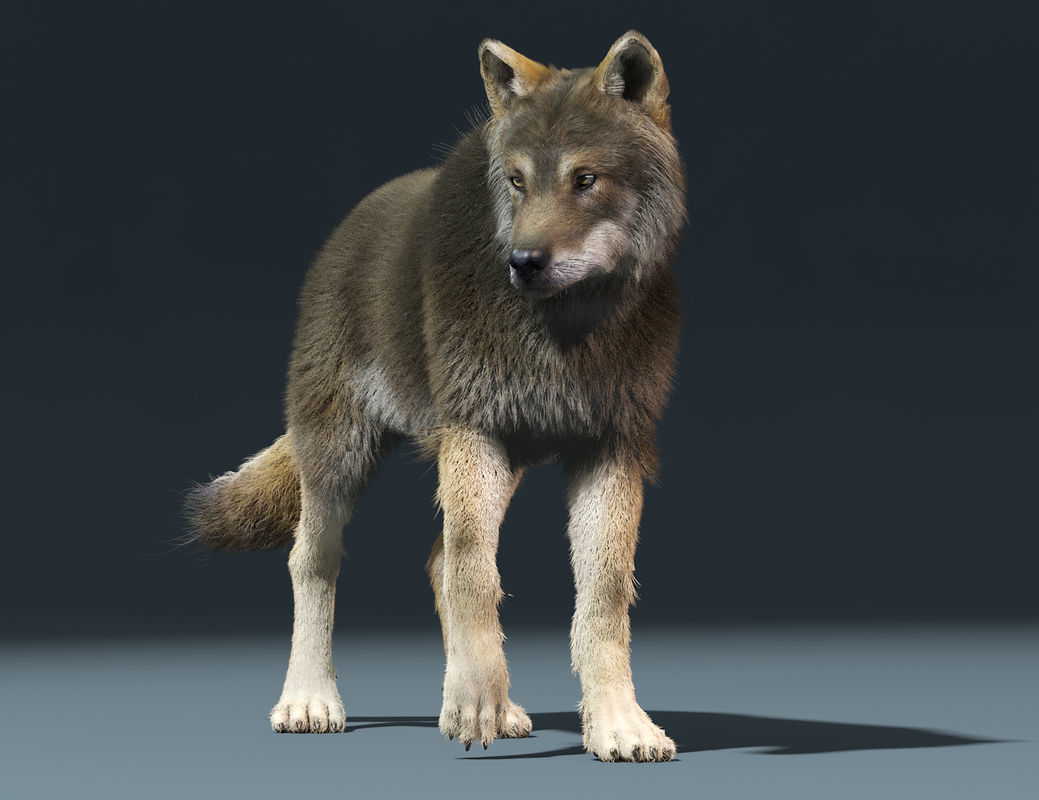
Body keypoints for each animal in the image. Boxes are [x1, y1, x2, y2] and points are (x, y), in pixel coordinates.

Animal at [185, 30, 686, 762]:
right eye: (517, 181)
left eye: (585, 180)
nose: (522, 263)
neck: (565, 332)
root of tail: (349, 225)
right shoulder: (474, 434)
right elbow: (474, 577)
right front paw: (474, 705)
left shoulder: (610, 447)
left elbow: (601, 599)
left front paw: (617, 724)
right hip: (344, 455)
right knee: (316, 560)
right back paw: (311, 700)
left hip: (496, 461)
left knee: (436, 557)